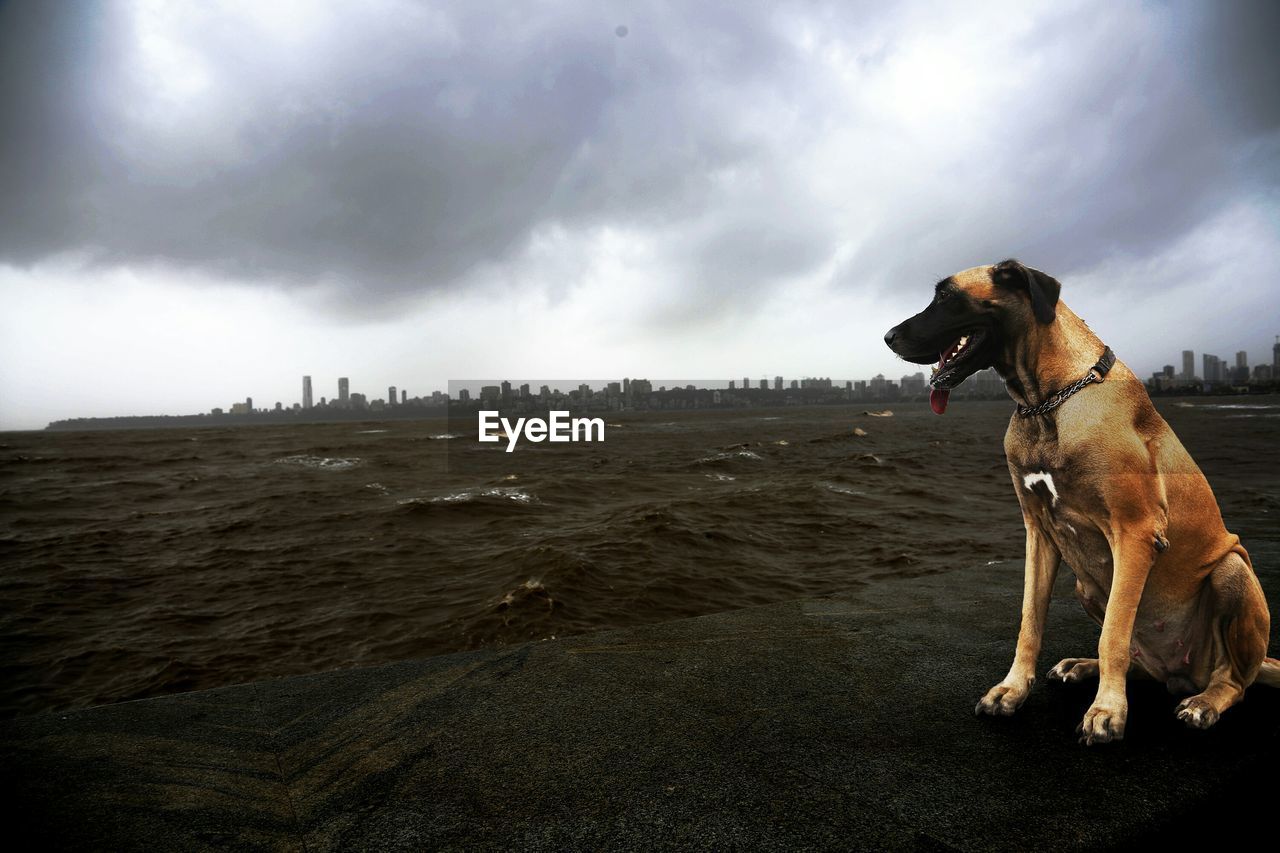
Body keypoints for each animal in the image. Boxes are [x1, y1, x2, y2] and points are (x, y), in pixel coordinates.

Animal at [885, 261, 1274, 742]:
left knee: (1234, 680)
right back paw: (1081, 666)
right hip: (1085, 585)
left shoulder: (1135, 533)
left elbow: (1114, 636)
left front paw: (1107, 710)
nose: (888, 337)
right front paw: (1012, 689)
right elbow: (1030, 622)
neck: (1047, 401)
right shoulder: (1038, 533)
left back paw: (1205, 702)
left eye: (946, 296)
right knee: (1143, 665)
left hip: (1232, 570)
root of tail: (1183, 674)